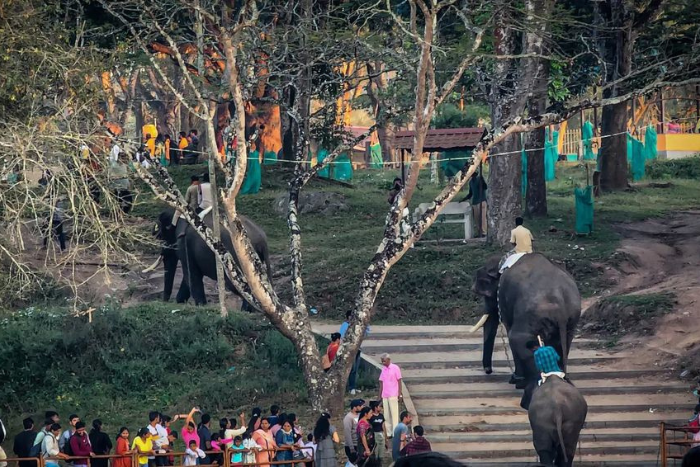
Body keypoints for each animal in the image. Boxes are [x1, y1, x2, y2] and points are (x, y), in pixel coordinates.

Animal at [471, 253, 581, 389]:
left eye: (486, 294)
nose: (488, 370)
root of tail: (559, 302)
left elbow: (509, 330)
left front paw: (515, 380)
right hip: (571, 318)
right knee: (563, 342)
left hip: (533, 316)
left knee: (517, 339)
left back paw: (526, 383)